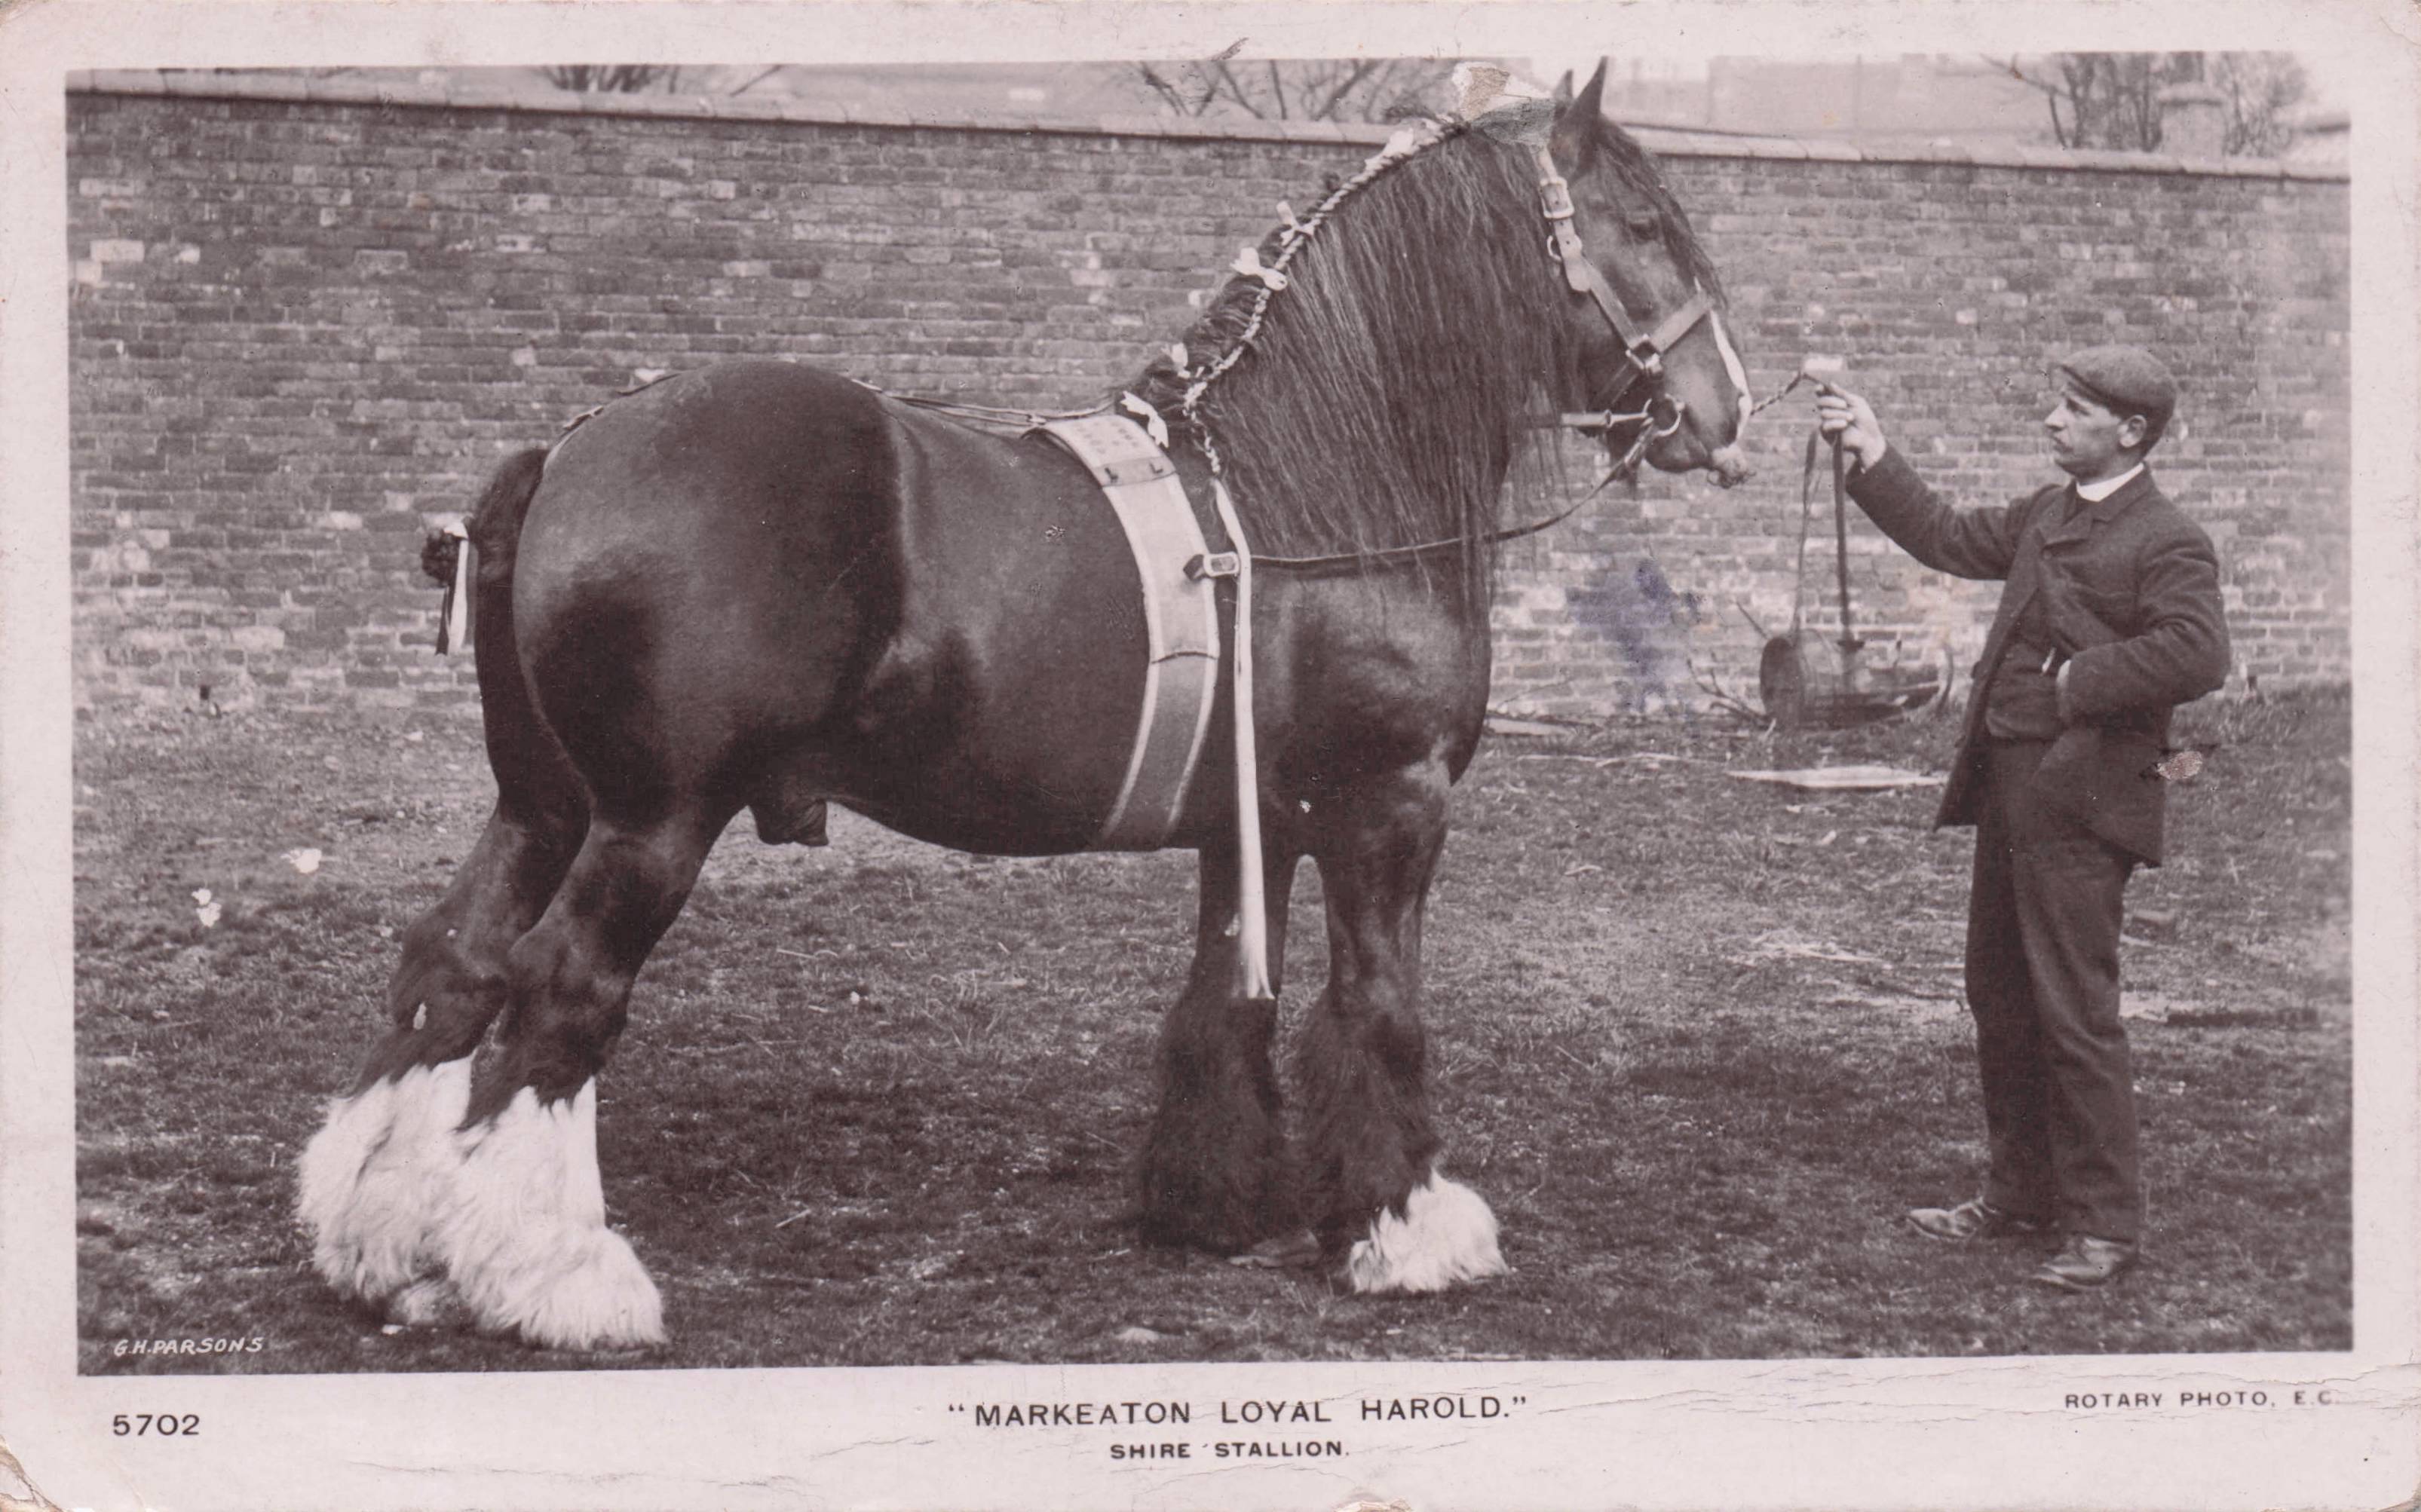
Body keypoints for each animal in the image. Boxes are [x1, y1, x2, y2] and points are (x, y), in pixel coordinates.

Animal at [296, 63, 1753, 1351]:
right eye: (1642, 225)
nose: (1724, 411)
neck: (1305, 495)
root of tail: (573, 449)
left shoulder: (1259, 822)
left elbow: (1227, 999)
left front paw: (1212, 1204)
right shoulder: (1389, 803)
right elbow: (1380, 1008)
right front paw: (1410, 1230)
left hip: (542, 804)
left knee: (452, 964)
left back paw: (383, 1245)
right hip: (651, 823)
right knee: (558, 996)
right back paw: (559, 1280)